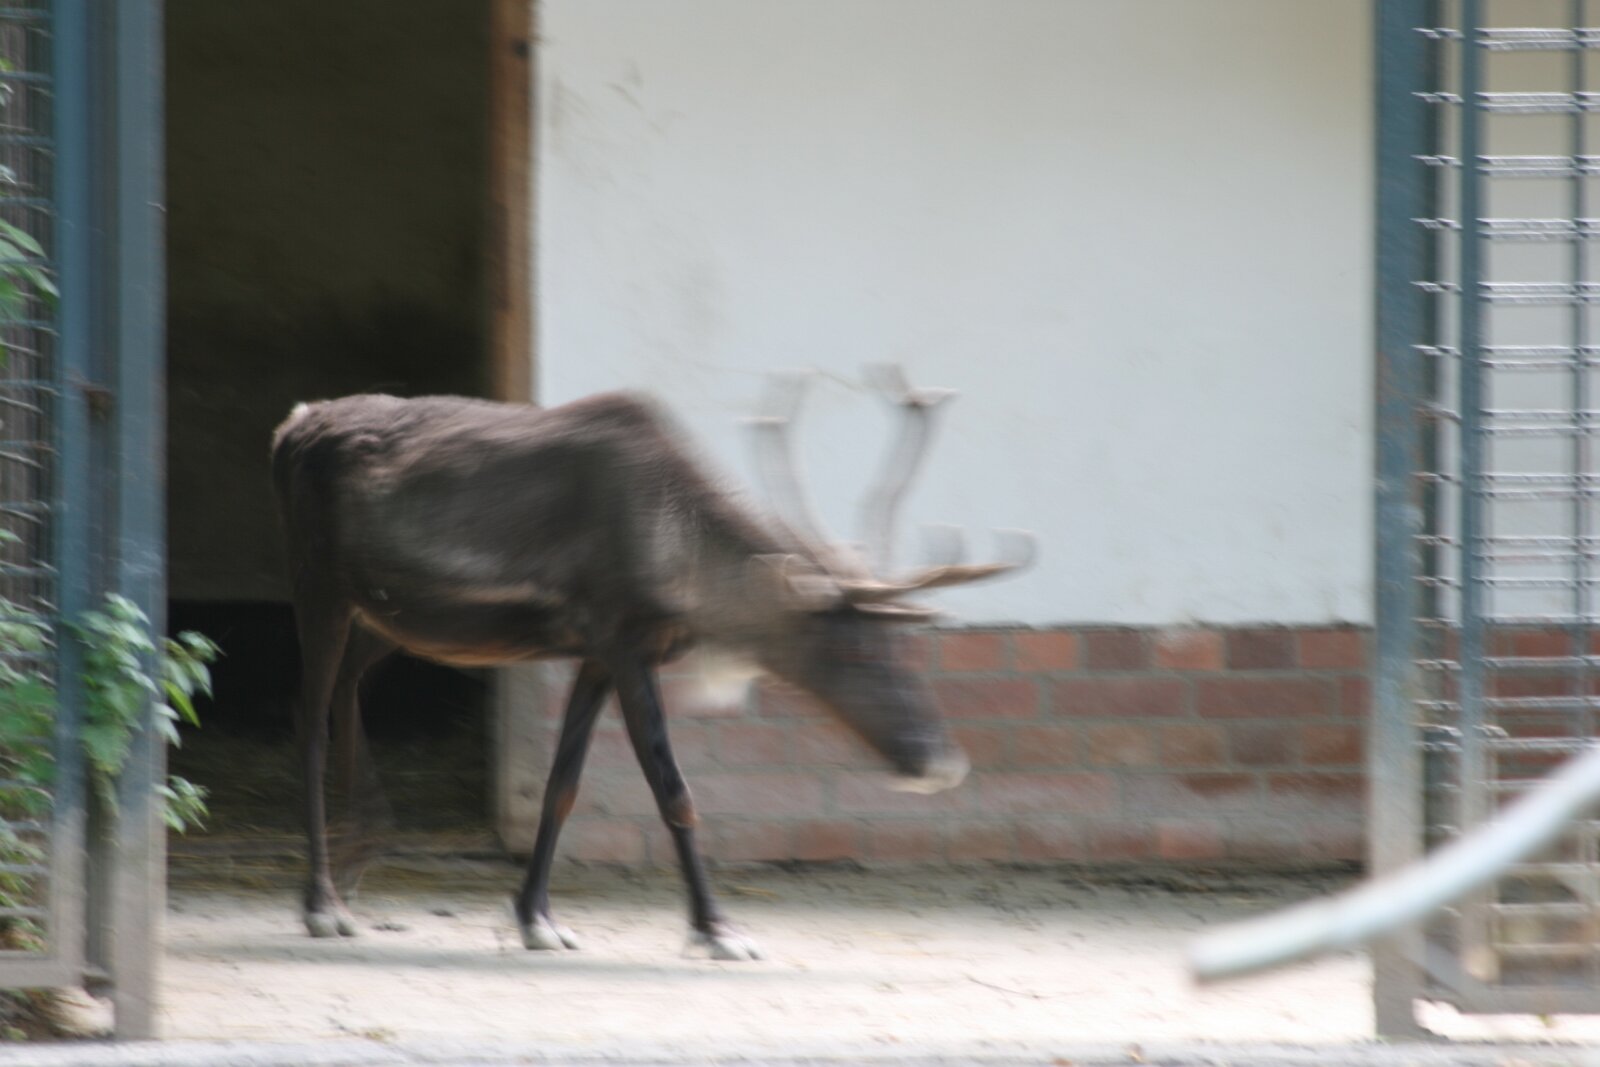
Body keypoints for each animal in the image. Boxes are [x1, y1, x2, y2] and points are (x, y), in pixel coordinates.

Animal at [270, 367, 1032, 960]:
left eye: (904, 647)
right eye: (852, 649)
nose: (939, 761)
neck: (684, 558)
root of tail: (289, 427)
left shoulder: (596, 653)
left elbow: (563, 785)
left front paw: (536, 917)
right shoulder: (623, 640)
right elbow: (674, 790)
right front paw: (718, 928)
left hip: (382, 614)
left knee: (344, 689)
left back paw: (360, 854)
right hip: (318, 581)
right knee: (307, 720)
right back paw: (322, 901)